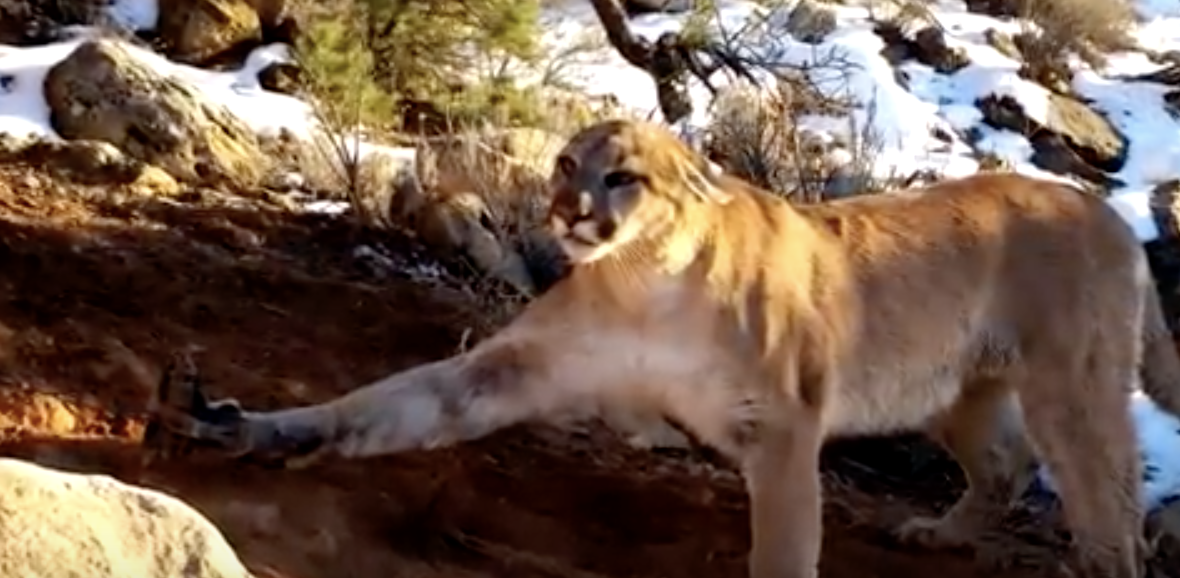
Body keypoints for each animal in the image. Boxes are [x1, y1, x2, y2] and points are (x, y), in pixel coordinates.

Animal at [147, 119, 1180, 578]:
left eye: (624, 177)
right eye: (566, 164)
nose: (568, 211)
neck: (648, 284)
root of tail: (1103, 211)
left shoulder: (783, 427)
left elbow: (784, 547)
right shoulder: (516, 366)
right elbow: (390, 402)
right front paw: (250, 427)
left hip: (1071, 385)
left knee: (1107, 501)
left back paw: (1100, 560)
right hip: (950, 389)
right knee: (1004, 465)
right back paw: (940, 531)